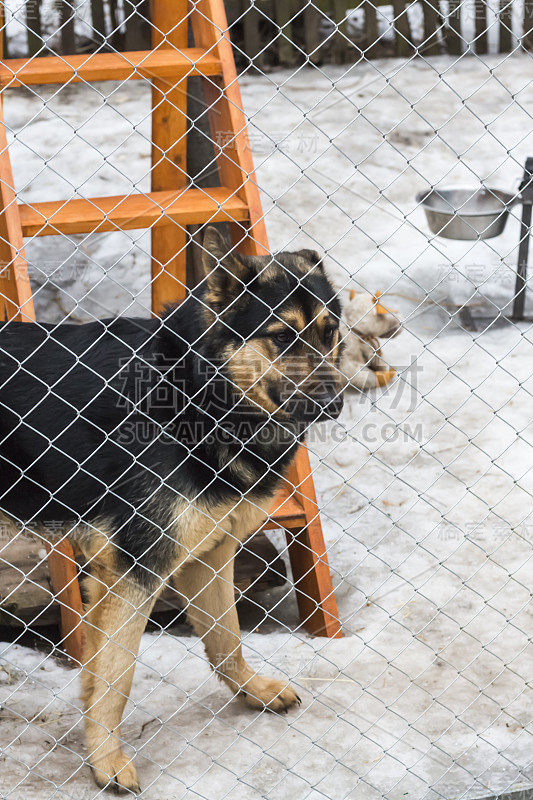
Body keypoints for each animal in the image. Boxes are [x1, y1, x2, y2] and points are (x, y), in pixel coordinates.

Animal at [0, 227, 342, 792]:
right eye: (282, 337)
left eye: (329, 333)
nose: (334, 404)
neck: (196, 395)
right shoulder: (135, 573)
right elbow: (116, 677)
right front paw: (107, 762)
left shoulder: (210, 556)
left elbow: (226, 639)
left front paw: (251, 691)